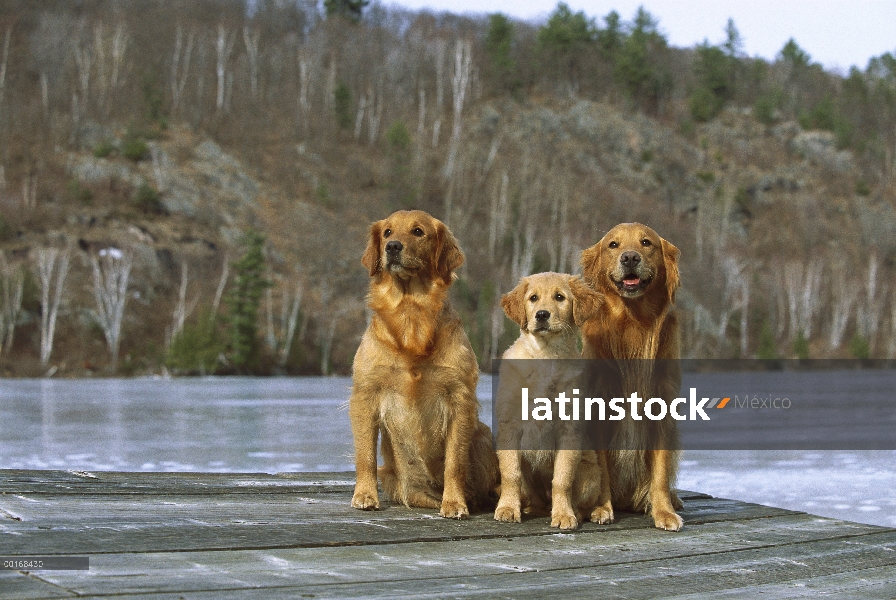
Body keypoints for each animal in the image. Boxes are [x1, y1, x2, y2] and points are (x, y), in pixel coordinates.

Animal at [346, 211, 496, 520]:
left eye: (418, 231)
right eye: (387, 232)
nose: (392, 247)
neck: (410, 315)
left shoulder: (459, 398)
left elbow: (455, 462)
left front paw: (454, 503)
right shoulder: (365, 395)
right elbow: (365, 454)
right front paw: (365, 495)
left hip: (484, 436)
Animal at [490, 274, 616, 528]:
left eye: (559, 297)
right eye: (533, 298)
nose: (541, 315)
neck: (545, 356)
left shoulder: (569, 431)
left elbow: (562, 479)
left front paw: (564, 515)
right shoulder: (509, 426)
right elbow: (510, 474)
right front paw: (507, 508)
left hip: (589, 472)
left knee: (582, 503)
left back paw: (587, 511)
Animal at [576, 224, 684, 528]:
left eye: (646, 243)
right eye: (613, 245)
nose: (630, 258)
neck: (633, 322)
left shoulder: (663, 408)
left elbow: (660, 471)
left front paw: (663, 511)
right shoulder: (597, 409)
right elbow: (601, 468)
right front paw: (601, 508)